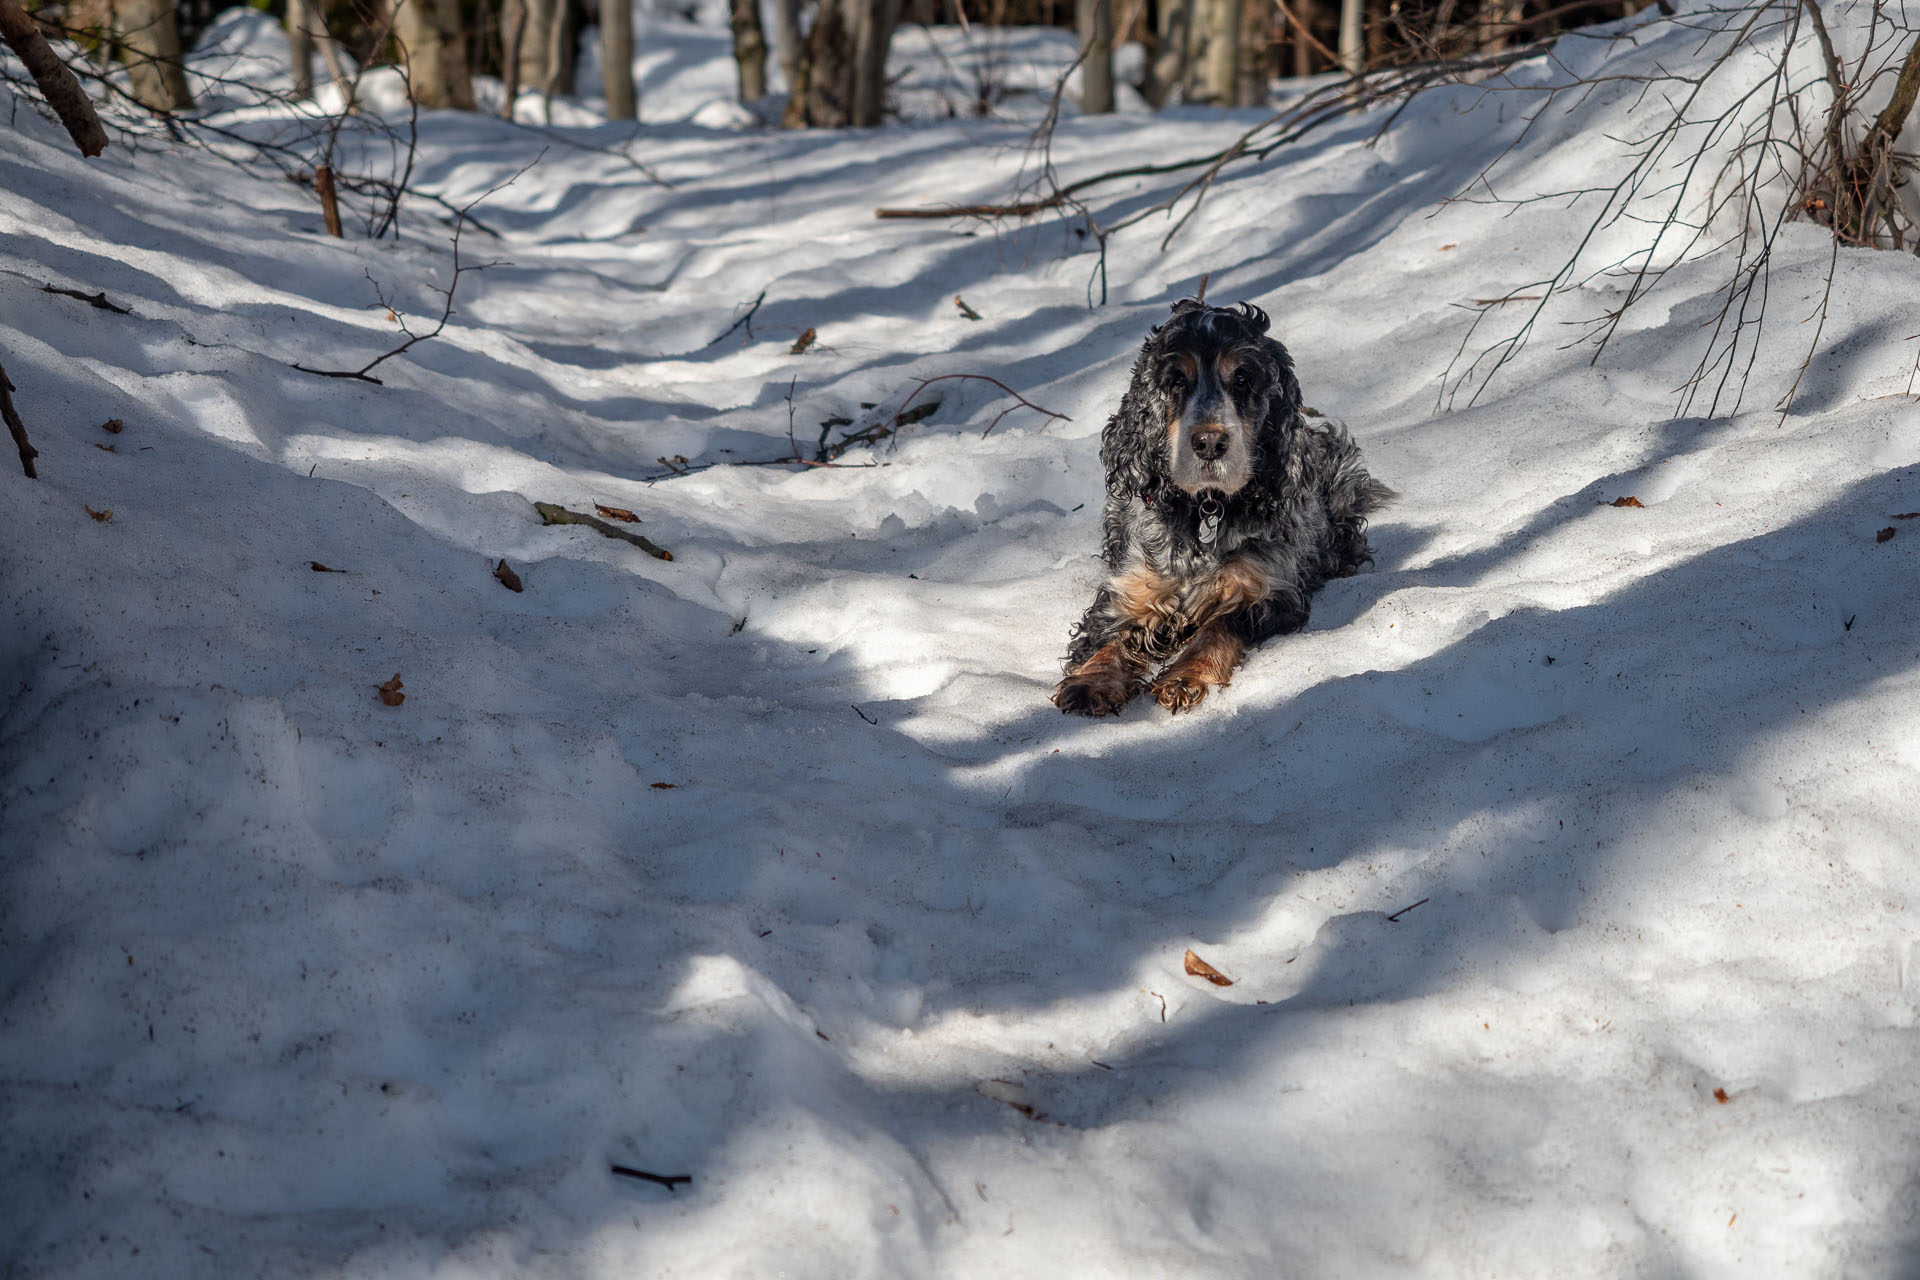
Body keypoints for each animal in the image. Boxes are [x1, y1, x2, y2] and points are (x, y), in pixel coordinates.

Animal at [1052, 301, 1397, 721]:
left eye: (1243, 378)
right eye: (1176, 381)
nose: (1209, 443)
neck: (1205, 508)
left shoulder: (1265, 591)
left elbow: (1218, 628)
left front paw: (1184, 678)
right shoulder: (1130, 588)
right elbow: (1113, 636)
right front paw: (1092, 681)